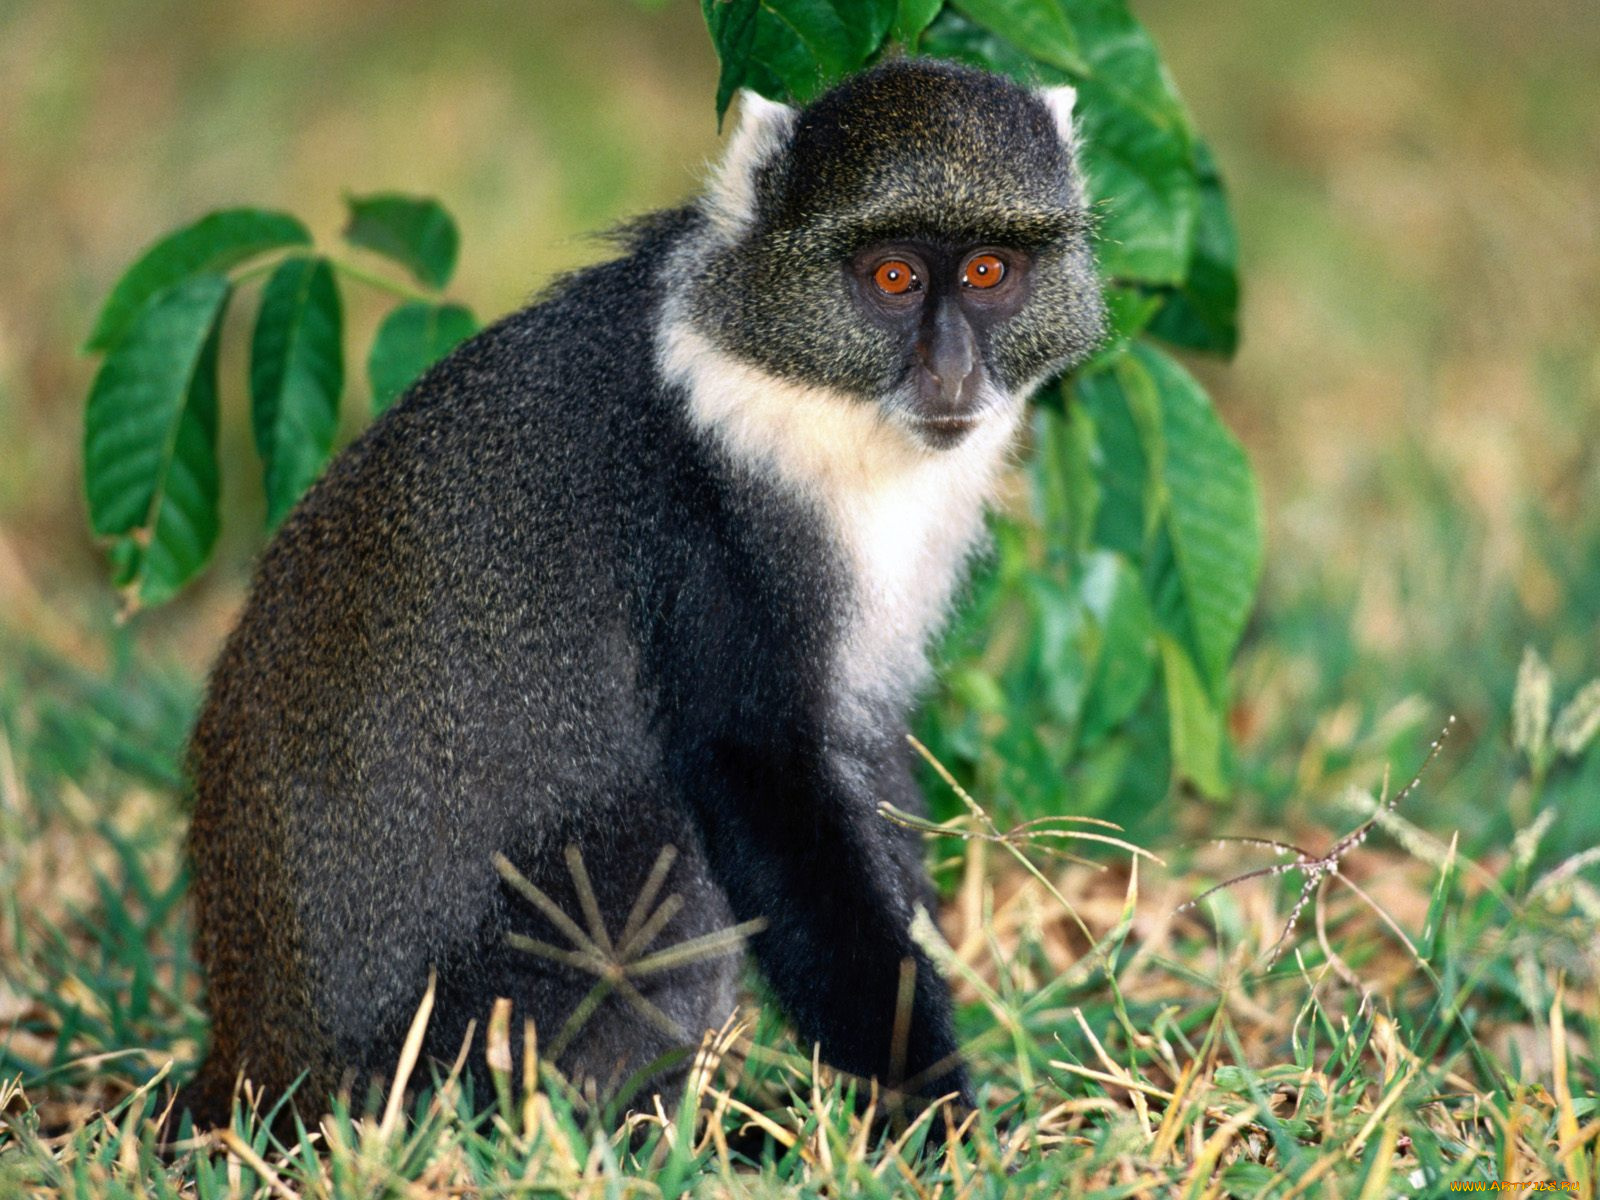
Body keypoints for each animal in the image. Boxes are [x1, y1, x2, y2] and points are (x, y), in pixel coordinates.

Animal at [172, 59, 1105, 1134]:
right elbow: (760, 777)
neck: (806, 393)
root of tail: (255, 1064)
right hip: (453, 1031)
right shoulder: (702, 530)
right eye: (894, 279)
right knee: (667, 839)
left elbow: (864, 765)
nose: (950, 369)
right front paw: (930, 1117)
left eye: (989, 272)